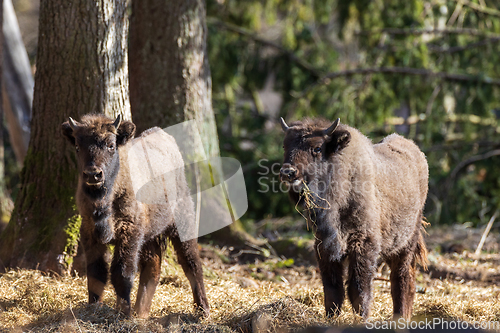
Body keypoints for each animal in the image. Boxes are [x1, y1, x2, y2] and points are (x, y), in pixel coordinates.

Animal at [61, 113, 208, 316]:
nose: (93, 174)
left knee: (192, 263)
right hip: (150, 236)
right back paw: (141, 311)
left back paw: (203, 309)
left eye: (111, 145)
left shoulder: (129, 232)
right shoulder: (90, 232)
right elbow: (96, 272)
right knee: (153, 267)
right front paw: (94, 307)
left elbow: (122, 272)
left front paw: (123, 311)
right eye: (77, 146)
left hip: (182, 222)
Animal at [280, 117, 428, 320]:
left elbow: (359, 289)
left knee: (402, 279)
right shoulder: (325, 247)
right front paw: (331, 318)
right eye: (285, 145)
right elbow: (332, 289)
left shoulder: (364, 245)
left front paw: (361, 319)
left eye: (317, 148)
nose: (288, 172)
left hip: (406, 244)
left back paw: (400, 318)